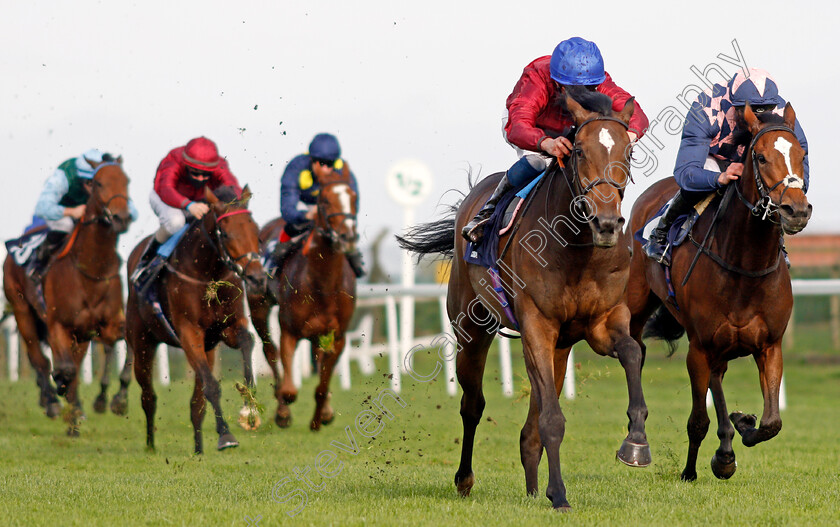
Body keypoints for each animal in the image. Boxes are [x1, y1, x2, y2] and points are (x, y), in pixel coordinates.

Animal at [2, 160, 133, 434]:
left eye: (126, 181)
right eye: (99, 182)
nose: (121, 217)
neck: (92, 269)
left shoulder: (109, 323)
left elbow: (124, 343)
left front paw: (115, 400)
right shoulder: (57, 325)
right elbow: (63, 368)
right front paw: (61, 389)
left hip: (79, 333)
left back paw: (75, 409)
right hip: (22, 311)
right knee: (39, 359)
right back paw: (52, 402)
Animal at [124, 186, 268, 454]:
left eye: (257, 232)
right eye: (226, 233)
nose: (257, 278)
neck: (207, 273)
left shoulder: (227, 327)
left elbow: (247, 341)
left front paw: (249, 407)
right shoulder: (189, 333)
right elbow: (212, 387)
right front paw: (226, 435)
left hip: (207, 350)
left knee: (195, 403)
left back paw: (199, 449)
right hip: (142, 343)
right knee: (148, 396)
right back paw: (150, 445)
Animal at [246, 166, 358, 434]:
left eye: (353, 197)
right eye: (325, 200)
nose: (347, 236)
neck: (322, 284)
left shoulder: (338, 336)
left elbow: (322, 385)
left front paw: (320, 417)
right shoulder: (289, 331)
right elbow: (288, 390)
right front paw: (283, 413)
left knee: (317, 356)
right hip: (258, 306)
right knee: (269, 351)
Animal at [398, 88, 648, 510]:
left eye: (628, 152)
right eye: (579, 151)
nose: (606, 223)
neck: (578, 249)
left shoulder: (602, 321)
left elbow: (631, 352)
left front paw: (636, 442)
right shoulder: (537, 325)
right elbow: (553, 419)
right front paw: (560, 494)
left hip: (559, 347)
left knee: (531, 423)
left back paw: (533, 490)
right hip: (472, 328)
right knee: (473, 405)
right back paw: (465, 479)